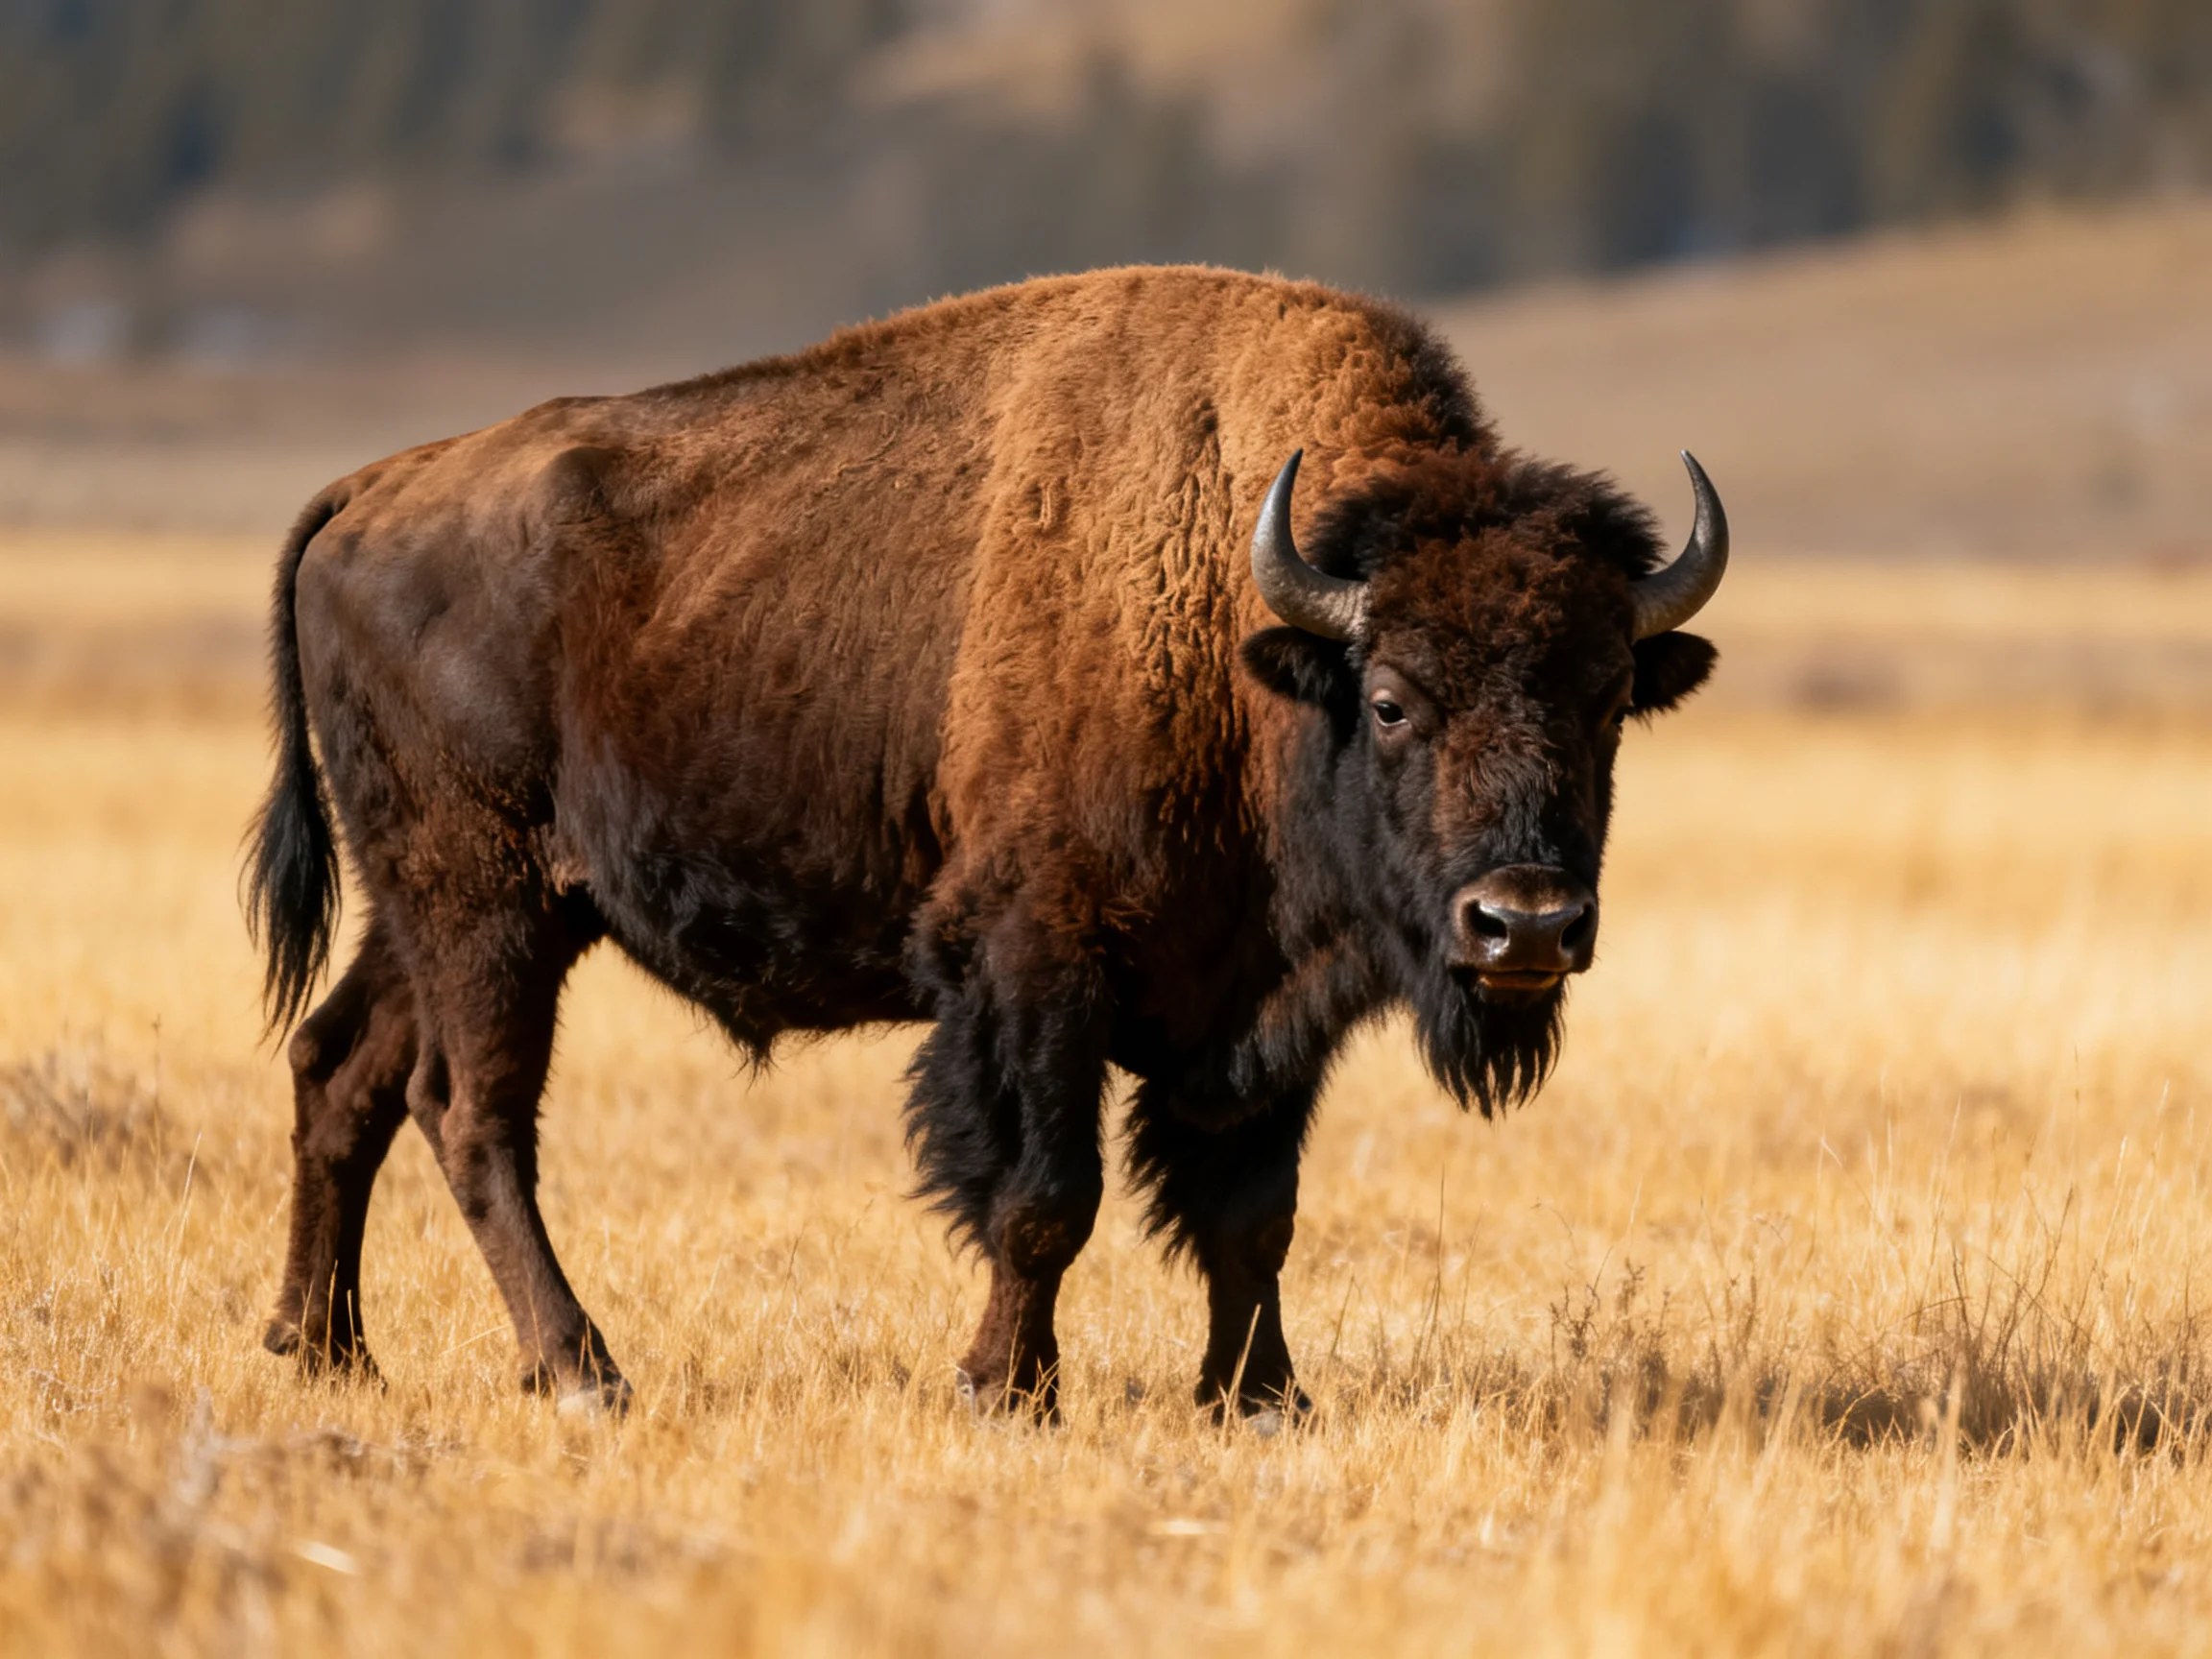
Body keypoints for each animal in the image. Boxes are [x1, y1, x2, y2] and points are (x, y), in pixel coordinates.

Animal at [246, 265, 1725, 1418]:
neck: (1243, 632)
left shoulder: (1266, 1004)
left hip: (444, 912)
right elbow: (1043, 1197)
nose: (1525, 923)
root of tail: (365, 492)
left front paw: (1261, 1400)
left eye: (1607, 700)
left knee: (340, 1074)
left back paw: (323, 1353)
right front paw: (1005, 1389)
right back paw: (579, 1373)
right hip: (483, 905)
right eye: (1395, 699)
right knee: (471, 1115)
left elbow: (1254, 1213)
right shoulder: (1036, 966)